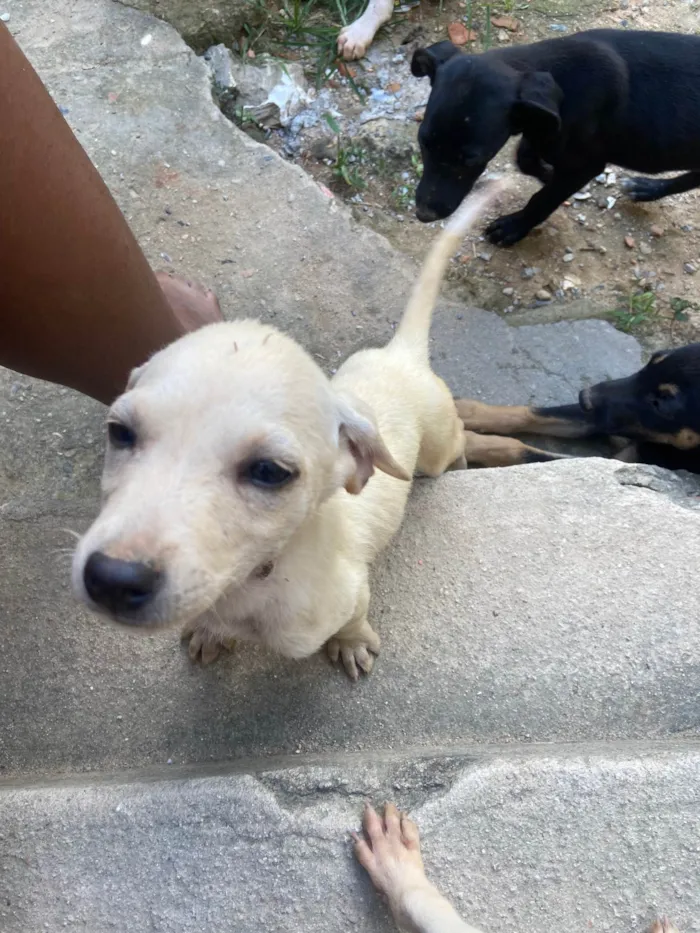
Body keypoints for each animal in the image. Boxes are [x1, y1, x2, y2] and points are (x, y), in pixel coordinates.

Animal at [72, 180, 504, 676]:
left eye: (269, 472)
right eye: (120, 432)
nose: (112, 579)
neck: (253, 582)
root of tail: (400, 354)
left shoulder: (348, 592)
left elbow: (353, 618)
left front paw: (352, 643)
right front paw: (208, 632)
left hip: (434, 447)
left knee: (459, 440)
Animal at [410, 30, 700, 244]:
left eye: (470, 160)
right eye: (424, 142)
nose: (424, 215)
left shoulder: (584, 166)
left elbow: (543, 198)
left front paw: (514, 226)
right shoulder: (542, 123)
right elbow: (526, 156)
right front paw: (545, 172)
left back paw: (649, 188)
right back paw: (648, 189)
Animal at [456, 344, 700, 474]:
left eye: (662, 403)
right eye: (652, 360)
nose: (584, 396)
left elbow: (524, 450)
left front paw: (468, 441)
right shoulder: (600, 415)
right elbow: (534, 414)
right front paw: (465, 412)